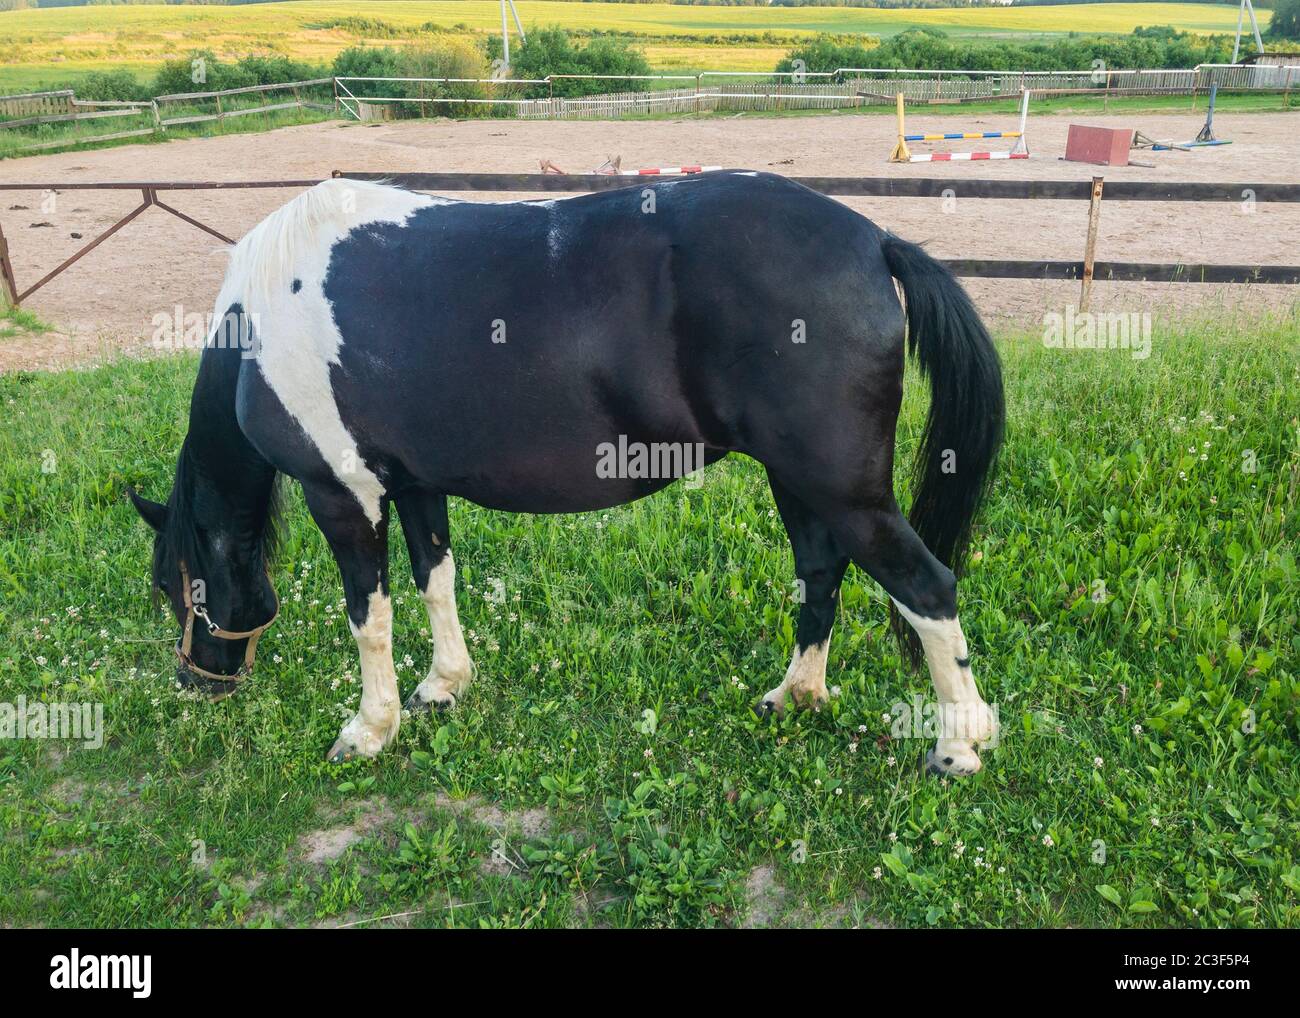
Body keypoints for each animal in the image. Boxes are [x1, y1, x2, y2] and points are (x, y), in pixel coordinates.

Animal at [129, 175, 1003, 774]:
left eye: (177, 586)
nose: (196, 681)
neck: (265, 316)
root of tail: (871, 240)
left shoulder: (345, 496)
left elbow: (368, 618)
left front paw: (370, 730)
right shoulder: (416, 485)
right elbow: (435, 579)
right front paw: (445, 684)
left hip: (842, 490)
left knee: (927, 588)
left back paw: (959, 746)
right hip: (801, 482)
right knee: (821, 575)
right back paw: (797, 695)